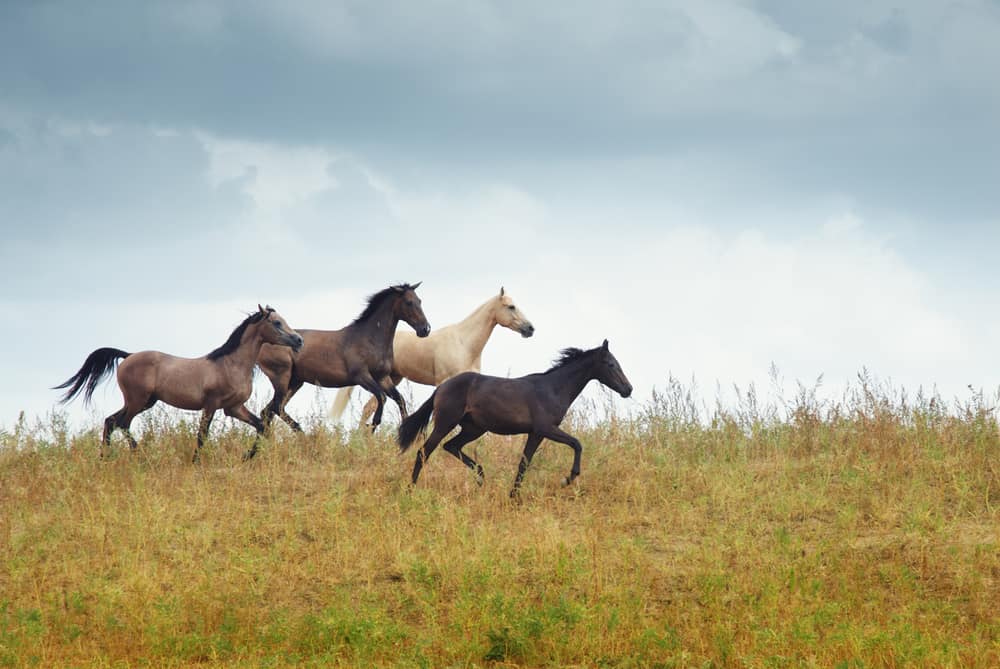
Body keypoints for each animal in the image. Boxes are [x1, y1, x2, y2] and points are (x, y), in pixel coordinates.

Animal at [54, 305, 303, 461]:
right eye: (277, 322)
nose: (299, 340)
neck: (230, 364)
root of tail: (128, 356)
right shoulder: (212, 405)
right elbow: (202, 435)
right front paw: (196, 462)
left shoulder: (233, 408)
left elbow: (261, 426)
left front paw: (247, 457)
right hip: (137, 401)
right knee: (122, 423)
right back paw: (140, 456)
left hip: (146, 402)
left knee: (111, 421)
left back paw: (105, 458)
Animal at [256, 282, 431, 436]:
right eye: (409, 302)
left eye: (420, 301)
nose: (425, 329)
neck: (369, 339)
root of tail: (263, 344)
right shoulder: (361, 376)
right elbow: (381, 398)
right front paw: (369, 430)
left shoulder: (383, 377)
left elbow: (400, 400)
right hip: (282, 377)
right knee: (275, 408)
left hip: (295, 382)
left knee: (268, 411)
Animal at [329, 287, 534, 426]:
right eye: (511, 307)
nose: (530, 329)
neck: (464, 344)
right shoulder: (443, 383)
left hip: (391, 379)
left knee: (369, 407)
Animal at [398, 339, 633, 497]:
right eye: (611, 364)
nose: (628, 389)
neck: (553, 389)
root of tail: (441, 388)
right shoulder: (545, 428)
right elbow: (577, 443)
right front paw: (568, 478)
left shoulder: (535, 433)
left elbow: (524, 464)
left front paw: (514, 497)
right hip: (446, 422)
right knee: (424, 452)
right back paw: (409, 490)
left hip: (474, 428)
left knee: (451, 446)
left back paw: (481, 476)